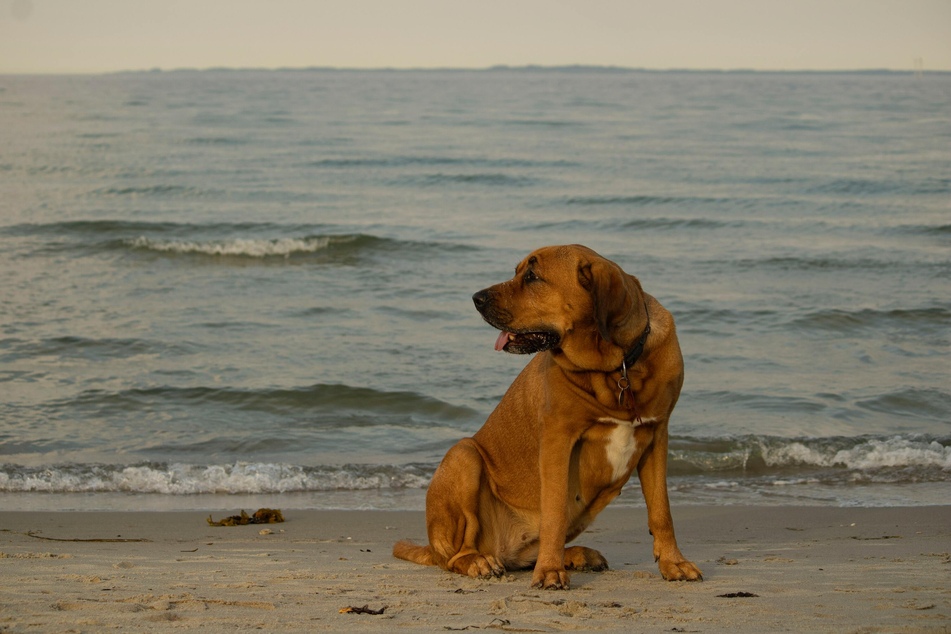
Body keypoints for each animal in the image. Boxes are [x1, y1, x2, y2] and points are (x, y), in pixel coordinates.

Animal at [392, 243, 700, 588]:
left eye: (532, 276)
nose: (476, 298)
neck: (616, 368)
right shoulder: (558, 439)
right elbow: (554, 512)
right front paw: (550, 571)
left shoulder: (656, 435)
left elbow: (662, 510)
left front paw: (674, 562)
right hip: (463, 455)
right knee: (454, 556)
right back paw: (479, 561)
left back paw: (575, 554)